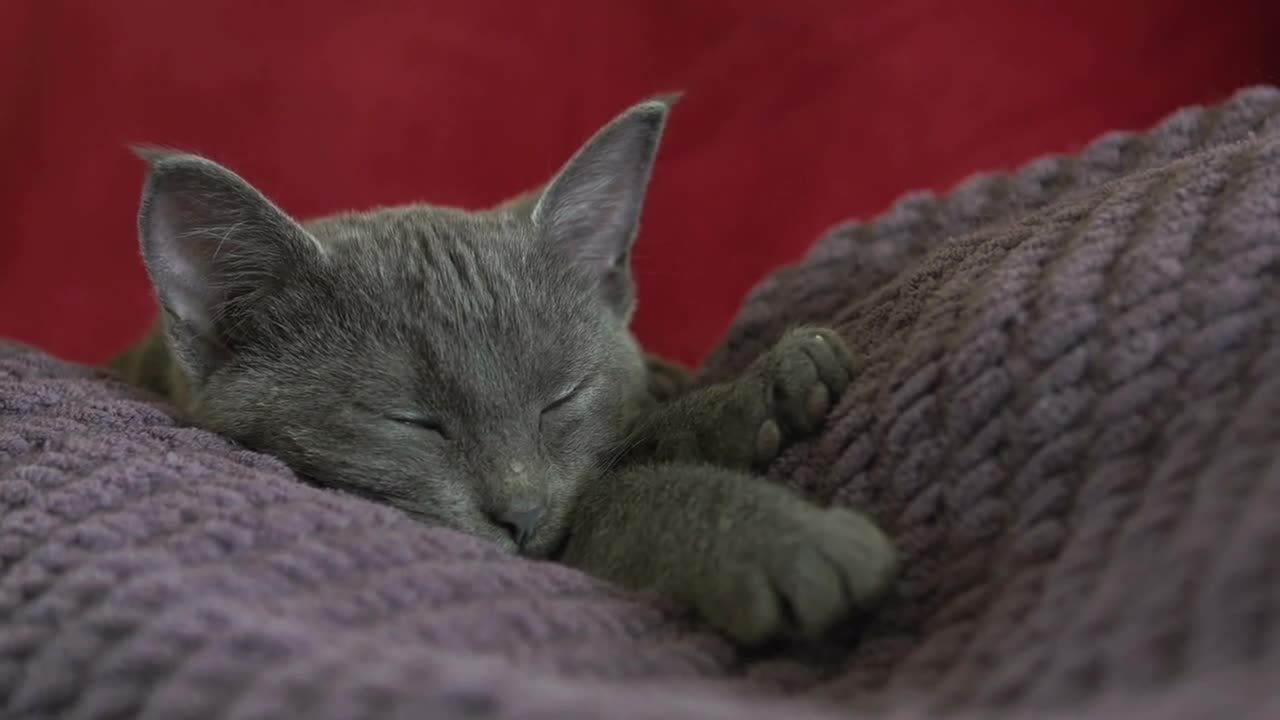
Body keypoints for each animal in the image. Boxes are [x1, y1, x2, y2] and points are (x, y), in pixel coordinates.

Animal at [110, 96, 896, 645]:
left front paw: (768, 383)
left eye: (561, 398)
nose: (522, 514)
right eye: (413, 421)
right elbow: (622, 503)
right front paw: (789, 544)